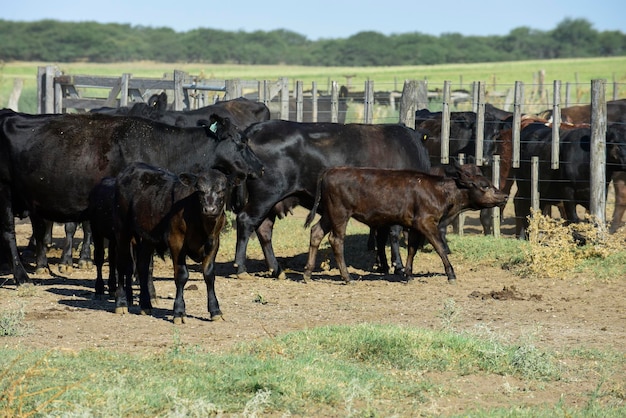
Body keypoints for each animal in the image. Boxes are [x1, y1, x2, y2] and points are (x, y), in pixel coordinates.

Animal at [0, 109, 260, 286]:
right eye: (241, 142)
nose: (260, 167)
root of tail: (8, 114)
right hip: (5, 191)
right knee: (9, 233)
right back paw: (22, 276)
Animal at [232, 119, 432, 280]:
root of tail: (258, 128)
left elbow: (381, 235)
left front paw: (383, 265)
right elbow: (393, 234)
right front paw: (398, 266)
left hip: (271, 202)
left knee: (264, 229)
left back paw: (277, 270)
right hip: (265, 196)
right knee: (246, 221)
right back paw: (241, 268)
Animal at [302, 163, 508, 284]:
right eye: (484, 185)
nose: (505, 196)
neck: (439, 191)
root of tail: (331, 170)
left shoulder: (415, 226)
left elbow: (412, 249)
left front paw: (408, 274)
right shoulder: (426, 222)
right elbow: (440, 247)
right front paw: (451, 274)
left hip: (329, 214)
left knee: (316, 232)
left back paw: (307, 274)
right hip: (340, 213)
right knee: (336, 240)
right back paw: (347, 277)